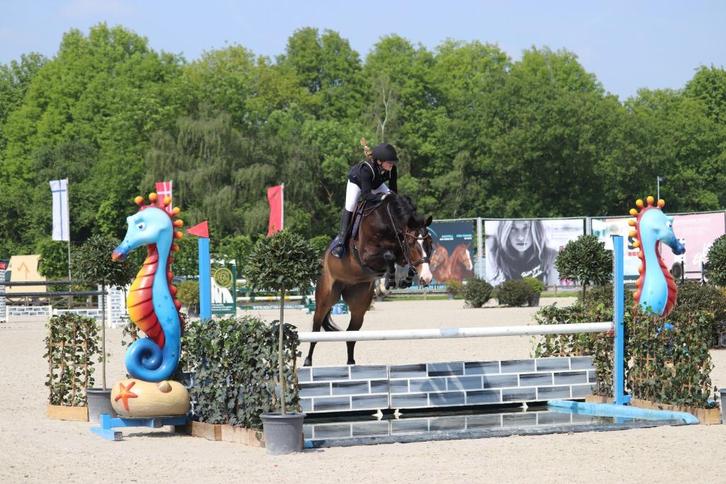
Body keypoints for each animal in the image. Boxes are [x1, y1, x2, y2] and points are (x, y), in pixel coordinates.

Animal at [303, 193, 433, 366]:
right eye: (412, 243)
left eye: (430, 243)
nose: (427, 278)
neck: (387, 222)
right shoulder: (366, 256)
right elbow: (389, 255)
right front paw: (389, 282)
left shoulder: (399, 252)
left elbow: (400, 259)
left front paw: (402, 281)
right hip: (326, 297)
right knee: (316, 328)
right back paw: (307, 362)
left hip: (359, 304)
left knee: (351, 335)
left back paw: (351, 364)